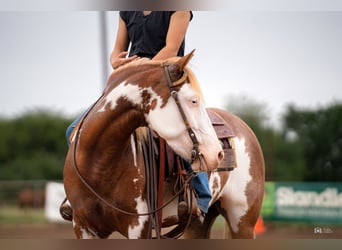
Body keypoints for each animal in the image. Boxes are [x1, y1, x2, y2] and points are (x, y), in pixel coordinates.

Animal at [61, 50, 264, 238]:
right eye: (193, 100)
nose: (218, 154)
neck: (98, 165)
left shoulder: (139, 227)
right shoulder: (83, 227)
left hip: (242, 223)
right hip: (197, 225)